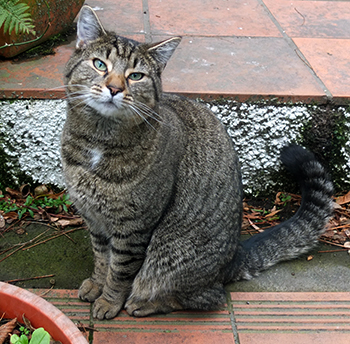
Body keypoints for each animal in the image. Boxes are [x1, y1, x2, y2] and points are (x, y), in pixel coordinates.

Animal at [61, 6, 334, 320]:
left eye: (136, 76)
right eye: (99, 65)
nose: (114, 88)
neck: (97, 138)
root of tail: (233, 259)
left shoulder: (134, 227)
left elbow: (120, 270)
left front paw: (109, 300)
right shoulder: (93, 217)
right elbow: (101, 257)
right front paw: (96, 284)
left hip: (170, 253)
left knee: (205, 296)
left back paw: (145, 302)